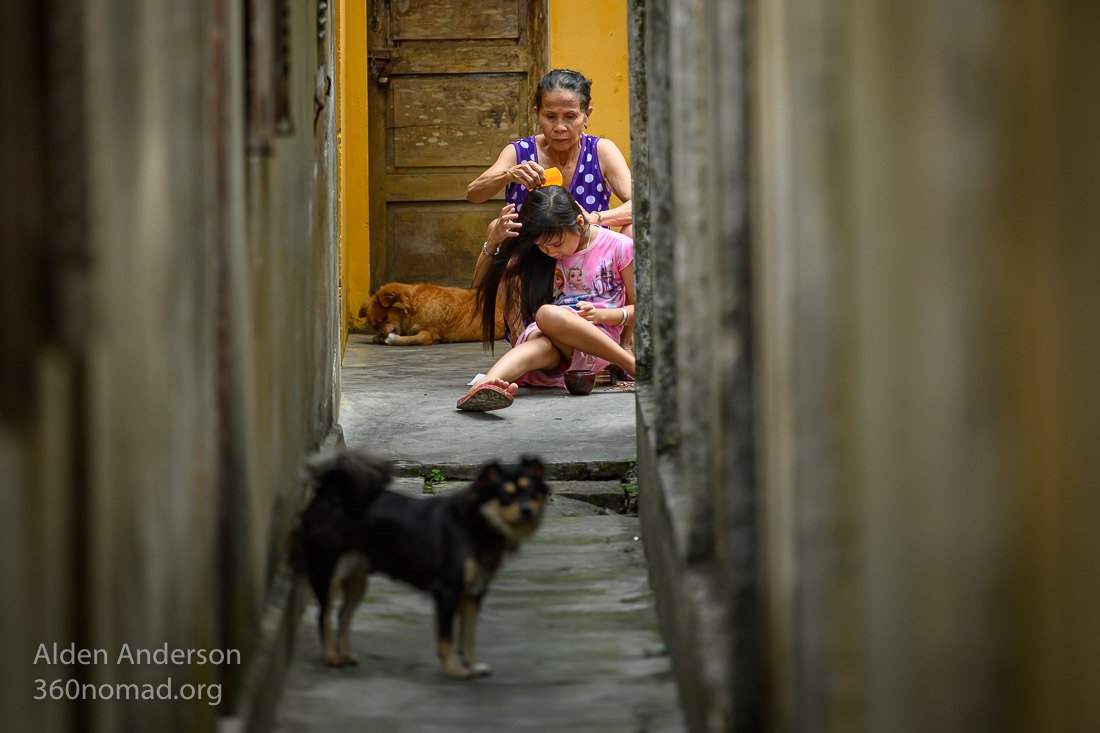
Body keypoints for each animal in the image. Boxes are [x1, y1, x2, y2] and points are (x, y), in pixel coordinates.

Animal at [363, 281, 503, 345]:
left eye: (385, 318)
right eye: (375, 326)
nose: (382, 333)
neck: (414, 305)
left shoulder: (430, 333)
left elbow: (412, 340)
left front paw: (391, 339)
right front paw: (379, 338)